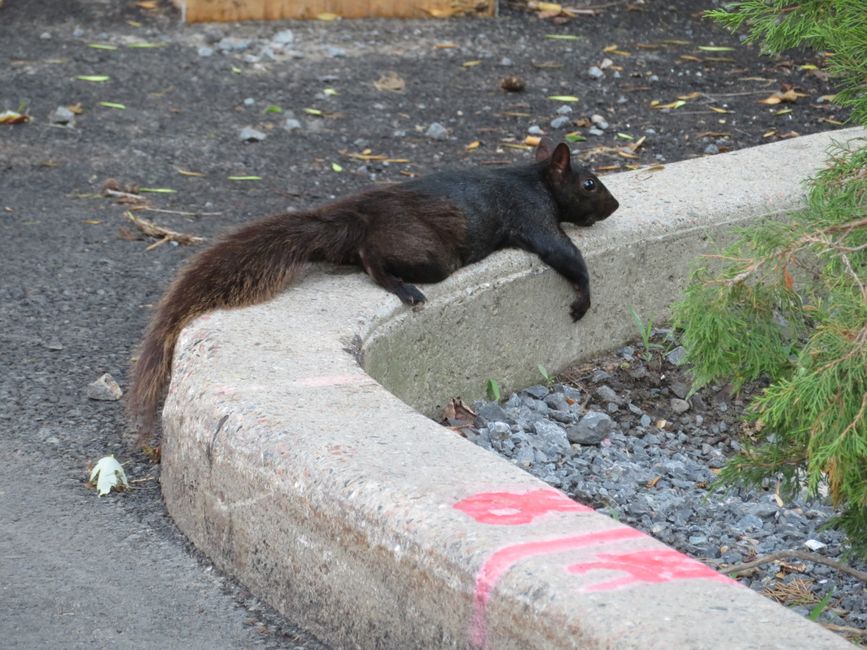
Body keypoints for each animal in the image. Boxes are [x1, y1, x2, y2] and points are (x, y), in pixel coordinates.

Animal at [127, 136, 616, 440]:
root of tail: (357, 218)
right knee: (372, 260)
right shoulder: (531, 214)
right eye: (589, 183)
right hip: (432, 254)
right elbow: (561, 252)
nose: (614, 206)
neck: (535, 179)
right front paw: (584, 296)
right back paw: (403, 288)